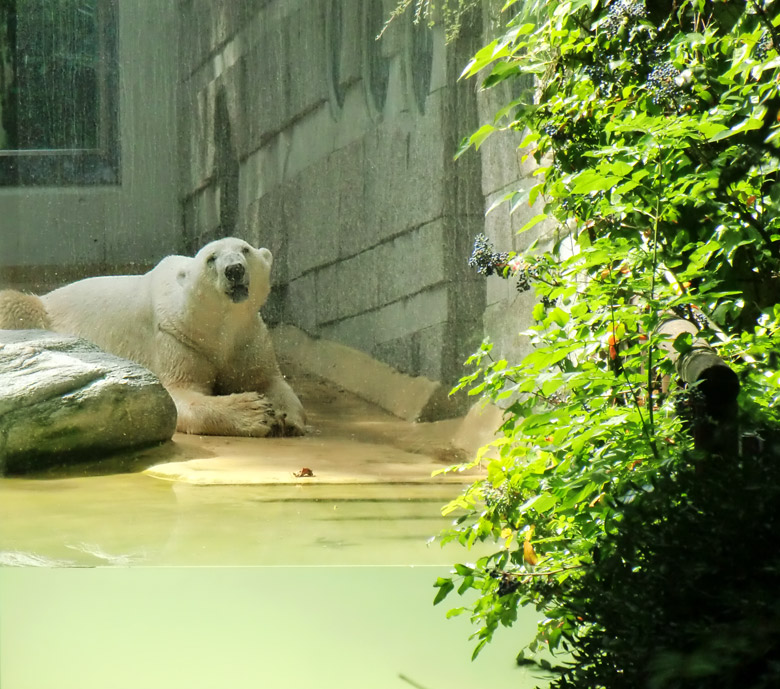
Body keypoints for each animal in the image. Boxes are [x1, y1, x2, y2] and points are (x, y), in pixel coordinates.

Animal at [3, 238, 308, 436]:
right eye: (211, 258)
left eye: (245, 250)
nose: (234, 270)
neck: (217, 324)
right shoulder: (175, 336)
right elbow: (180, 393)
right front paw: (255, 411)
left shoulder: (247, 338)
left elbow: (266, 378)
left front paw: (287, 417)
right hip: (39, 311)